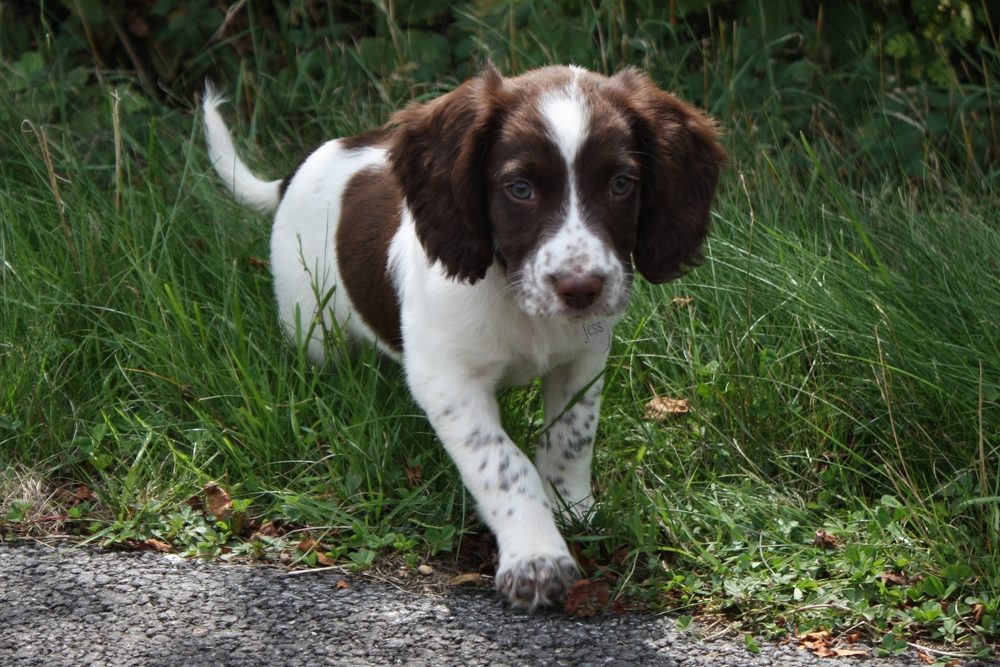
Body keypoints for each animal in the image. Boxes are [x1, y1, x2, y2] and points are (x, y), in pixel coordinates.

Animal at [203, 62, 724, 612]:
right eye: (520, 189)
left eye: (622, 184)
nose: (581, 288)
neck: (514, 294)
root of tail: (304, 167)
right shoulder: (447, 380)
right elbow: (502, 463)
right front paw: (536, 558)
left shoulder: (582, 358)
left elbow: (571, 436)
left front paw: (571, 506)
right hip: (312, 325)